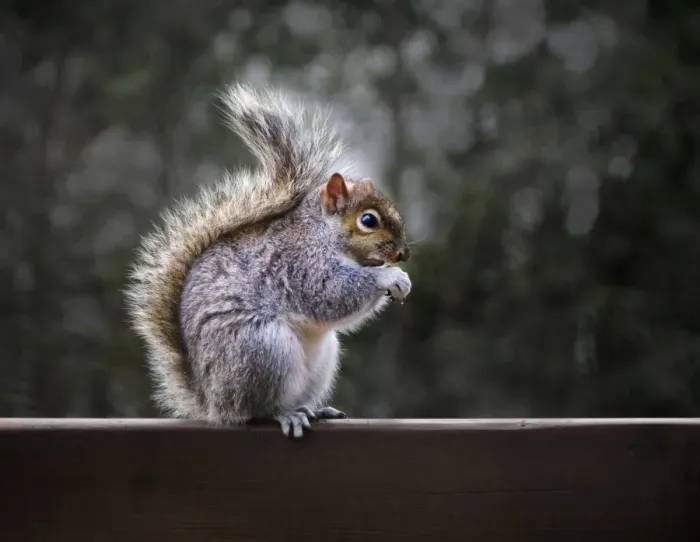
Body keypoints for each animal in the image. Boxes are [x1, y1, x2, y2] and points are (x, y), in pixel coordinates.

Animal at [124, 83, 411, 439]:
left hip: (318, 359)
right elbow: (331, 293)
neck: (320, 233)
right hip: (261, 350)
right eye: (368, 220)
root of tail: (212, 401)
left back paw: (315, 410)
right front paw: (390, 277)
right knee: (255, 411)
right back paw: (285, 414)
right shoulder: (299, 264)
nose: (402, 254)